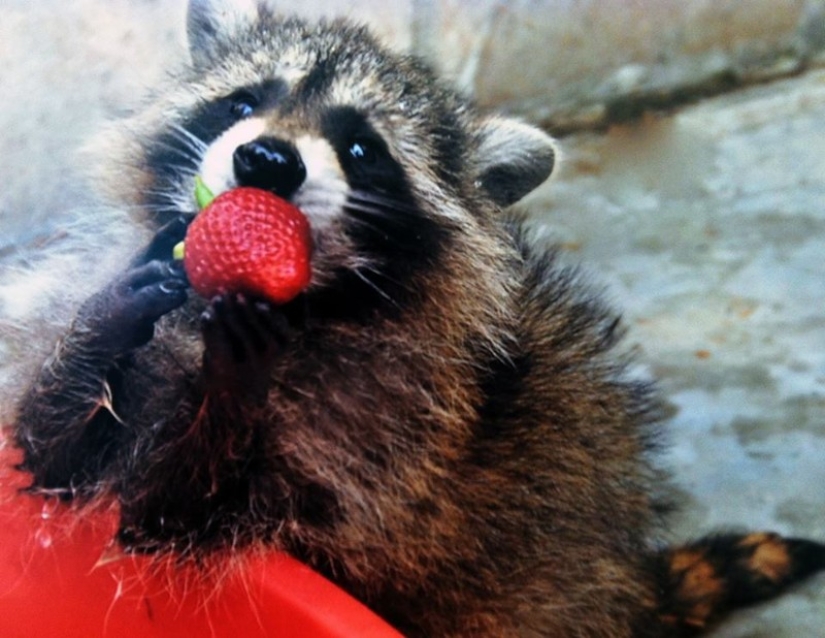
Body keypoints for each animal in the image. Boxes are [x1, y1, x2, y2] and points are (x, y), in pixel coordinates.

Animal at [3, 0, 824, 636]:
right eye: (241, 102)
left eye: (361, 147)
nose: (267, 160)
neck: (311, 300)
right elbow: (51, 461)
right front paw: (107, 319)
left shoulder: (380, 437)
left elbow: (172, 511)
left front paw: (233, 383)